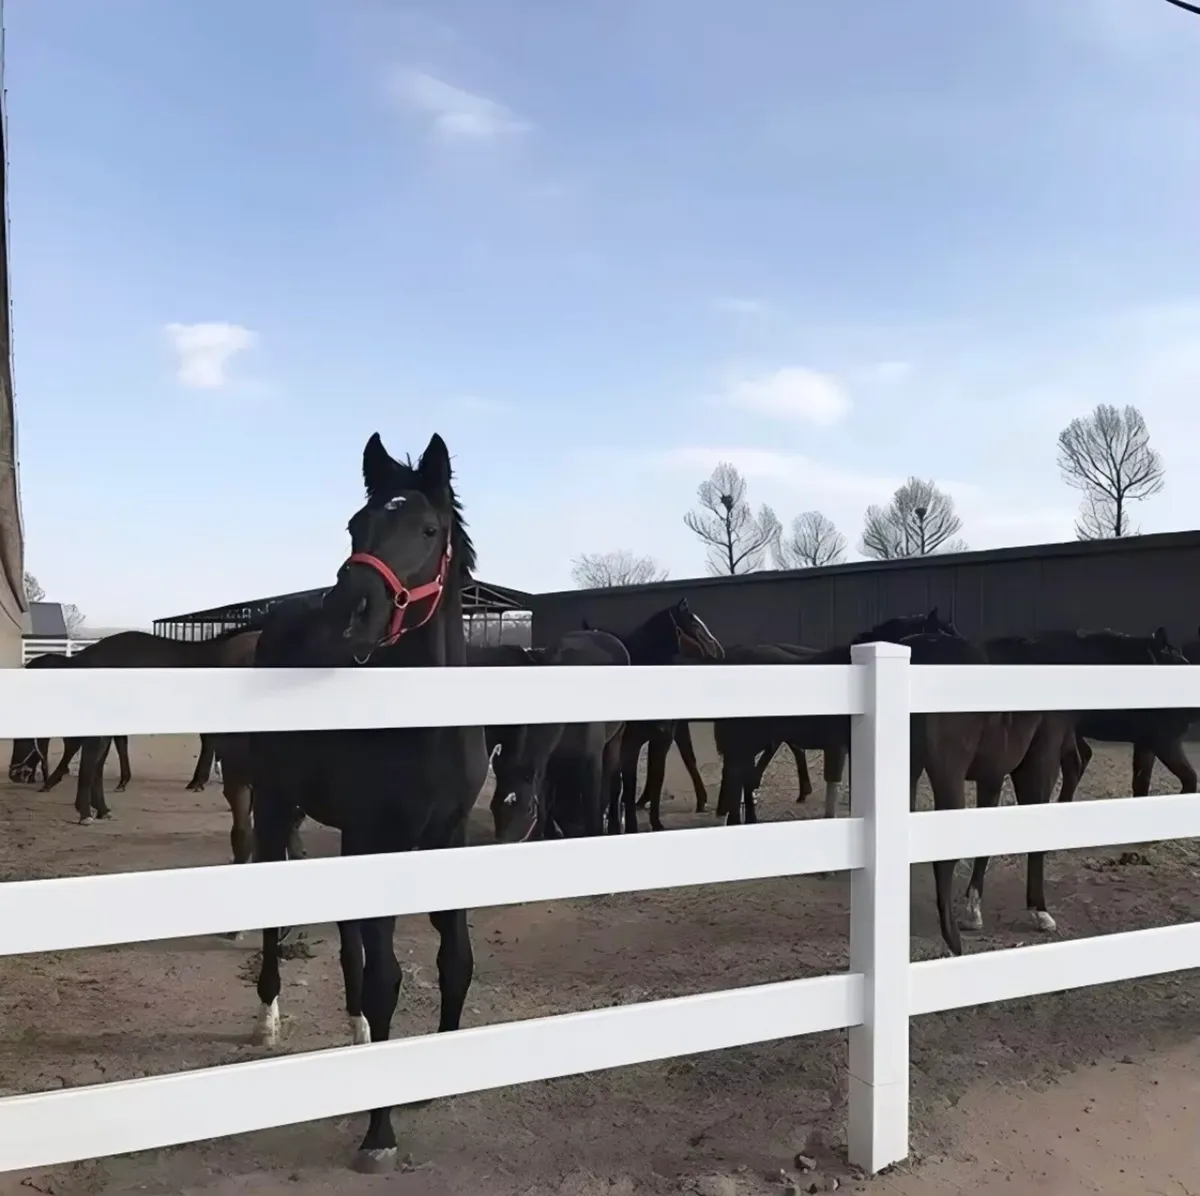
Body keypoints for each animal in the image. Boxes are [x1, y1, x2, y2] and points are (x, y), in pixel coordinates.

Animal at [248, 431, 489, 1173]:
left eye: (429, 529)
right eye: (357, 526)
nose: (349, 610)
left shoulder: (445, 837)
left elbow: (454, 960)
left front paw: (434, 1076)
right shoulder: (377, 836)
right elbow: (388, 976)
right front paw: (378, 1132)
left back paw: (354, 1028)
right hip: (275, 807)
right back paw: (267, 1018)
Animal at [489, 628, 629, 840]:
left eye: (526, 809)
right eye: (492, 808)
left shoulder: (592, 759)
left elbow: (592, 807)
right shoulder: (548, 759)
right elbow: (545, 801)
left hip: (615, 740)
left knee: (612, 782)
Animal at [583, 600, 723, 833]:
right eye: (694, 624)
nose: (718, 651)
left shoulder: (661, 740)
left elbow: (656, 776)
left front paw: (655, 823)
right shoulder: (628, 746)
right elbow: (627, 785)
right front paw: (629, 826)